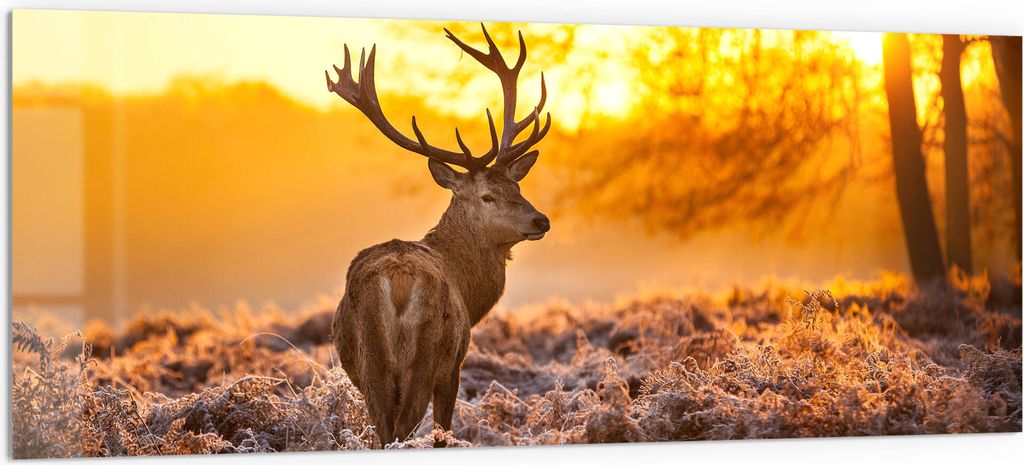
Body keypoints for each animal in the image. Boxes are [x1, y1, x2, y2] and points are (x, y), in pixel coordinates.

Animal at [325, 24, 551, 447]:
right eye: (488, 195)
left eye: (517, 187)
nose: (541, 220)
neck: (469, 288)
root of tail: (398, 280)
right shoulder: (454, 365)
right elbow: (444, 429)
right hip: (427, 355)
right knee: (404, 428)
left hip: (370, 363)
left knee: (385, 430)